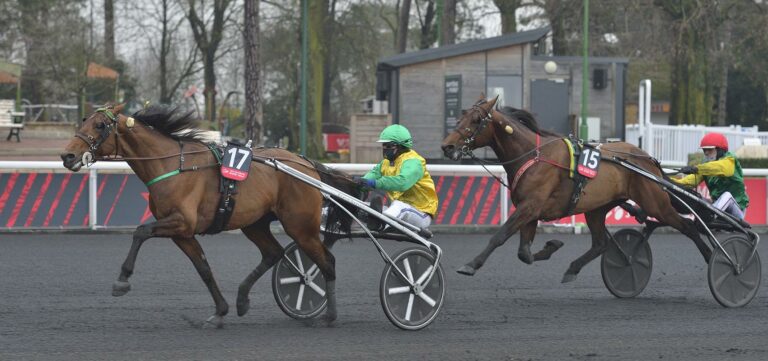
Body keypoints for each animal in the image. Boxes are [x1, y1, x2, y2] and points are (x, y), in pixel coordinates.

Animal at [60, 103, 360, 326]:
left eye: (100, 125)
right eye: (83, 120)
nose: (67, 156)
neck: (173, 165)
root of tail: (307, 164)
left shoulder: (181, 221)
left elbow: (141, 231)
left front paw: (122, 281)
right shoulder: (182, 232)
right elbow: (203, 268)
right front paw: (220, 310)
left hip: (300, 226)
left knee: (326, 262)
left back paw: (329, 314)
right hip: (255, 223)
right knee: (273, 253)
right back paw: (242, 299)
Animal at [440, 95, 712, 282]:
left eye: (476, 120)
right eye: (461, 116)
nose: (447, 147)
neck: (534, 156)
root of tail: (648, 159)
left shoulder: (530, 206)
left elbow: (500, 236)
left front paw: (470, 264)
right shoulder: (530, 210)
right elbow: (524, 253)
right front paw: (552, 246)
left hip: (655, 202)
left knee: (689, 226)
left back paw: (714, 260)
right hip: (597, 208)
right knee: (601, 244)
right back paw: (573, 268)